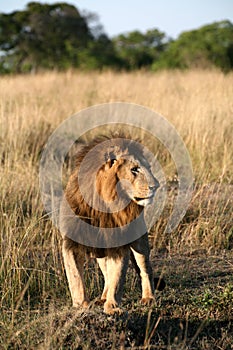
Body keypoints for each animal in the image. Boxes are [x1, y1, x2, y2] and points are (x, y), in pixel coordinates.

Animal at [59, 135, 162, 314]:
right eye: (134, 169)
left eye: (148, 167)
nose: (156, 186)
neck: (104, 206)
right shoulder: (72, 242)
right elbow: (75, 277)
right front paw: (81, 306)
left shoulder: (119, 243)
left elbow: (117, 277)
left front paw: (113, 307)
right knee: (106, 273)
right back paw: (102, 298)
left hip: (140, 241)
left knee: (145, 268)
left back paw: (148, 298)